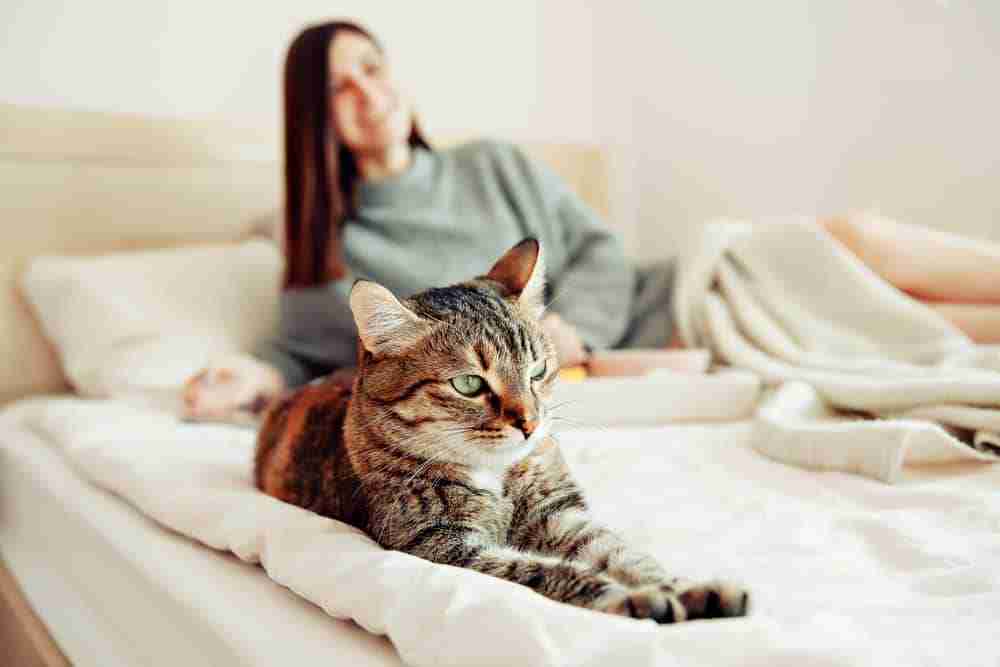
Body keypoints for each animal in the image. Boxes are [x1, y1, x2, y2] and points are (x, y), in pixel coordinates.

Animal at [258, 241, 752, 628]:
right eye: (468, 384)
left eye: (538, 370)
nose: (529, 423)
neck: (496, 476)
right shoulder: (445, 545)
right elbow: (549, 573)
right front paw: (635, 598)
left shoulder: (559, 515)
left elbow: (622, 554)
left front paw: (687, 587)